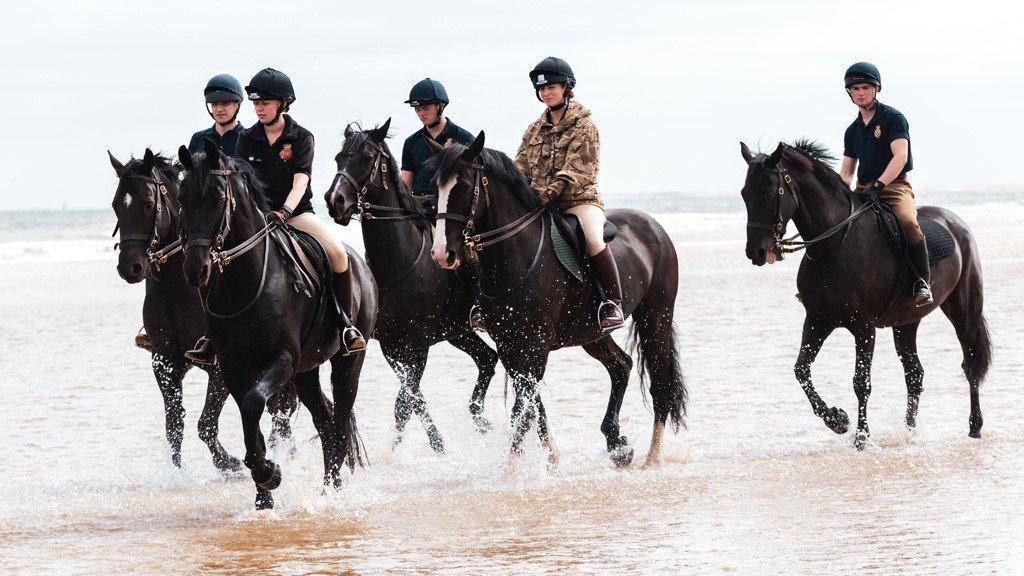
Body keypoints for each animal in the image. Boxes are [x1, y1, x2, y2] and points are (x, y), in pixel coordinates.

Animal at [109, 148, 299, 471]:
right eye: (115, 206)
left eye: (147, 204)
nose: (129, 268)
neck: (175, 286)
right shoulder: (164, 361)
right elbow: (174, 424)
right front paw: (176, 472)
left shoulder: (220, 365)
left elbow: (206, 423)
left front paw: (229, 462)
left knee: (283, 408)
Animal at [177, 139, 376, 506]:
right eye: (182, 199)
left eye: (218, 199)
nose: (195, 270)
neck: (246, 282)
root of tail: (360, 264)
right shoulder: (234, 367)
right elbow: (249, 417)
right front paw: (263, 493)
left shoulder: (281, 359)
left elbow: (254, 404)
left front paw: (269, 472)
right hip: (305, 371)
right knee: (326, 422)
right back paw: (325, 489)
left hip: (347, 361)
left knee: (340, 419)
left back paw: (333, 492)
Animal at [323, 119, 499, 453]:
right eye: (338, 158)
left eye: (367, 157)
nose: (335, 202)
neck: (400, 261)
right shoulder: (391, 345)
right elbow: (409, 397)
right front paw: (414, 446)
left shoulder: (417, 342)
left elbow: (407, 398)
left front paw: (423, 447)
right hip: (458, 333)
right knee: (488, 360)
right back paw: (482, 421)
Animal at [428, 132, 684, 463]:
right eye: (436, 187)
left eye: (461, 187)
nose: (441, 254)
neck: (517, 254)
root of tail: (654, 227)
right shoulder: (509, 344)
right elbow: (530, 403)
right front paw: (549, 455)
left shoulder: (536, 345)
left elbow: (524, 407)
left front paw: (513, 465)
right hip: (593, 334)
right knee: (621, 366)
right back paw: (617, 444)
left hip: (656, 318)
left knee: (660, 384)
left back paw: (651, 459)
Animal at [741, 141, 987, 446]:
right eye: (744, 195)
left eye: (768, 191)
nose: (757, 252)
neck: (835, 243)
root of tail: (955, 222)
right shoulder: (818, 320)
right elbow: (801, 370)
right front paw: (837, 420)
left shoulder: (863, 327)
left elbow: (861, 382)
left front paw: (861, 435)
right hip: (906, 323)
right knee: (914, 373)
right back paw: (909, 430)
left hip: (963, 311)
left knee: (970, 364)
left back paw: (975, 426)